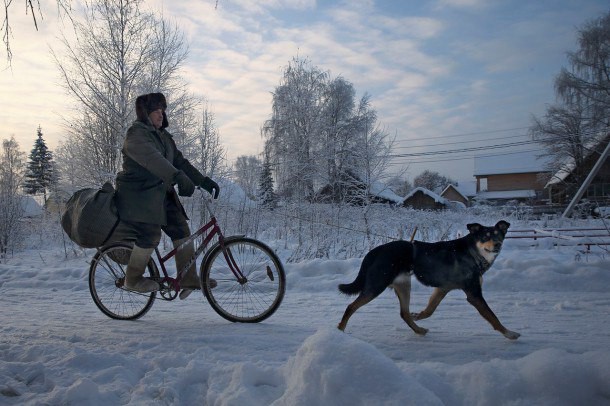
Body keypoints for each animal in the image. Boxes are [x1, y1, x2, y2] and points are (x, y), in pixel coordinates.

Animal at [338, 220, 516, 340]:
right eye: (485, 237)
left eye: (499, 236)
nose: (497, 245)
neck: (472, 252)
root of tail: (375, 251)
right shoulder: (474, 294)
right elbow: (493, 317)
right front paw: (509, 333)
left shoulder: (442, 288)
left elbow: (430, 310)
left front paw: (418, 315)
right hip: (376, 285)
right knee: (350, 306)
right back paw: (340, 330)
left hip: (403, 285)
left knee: (404, 313)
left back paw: (418, 329)